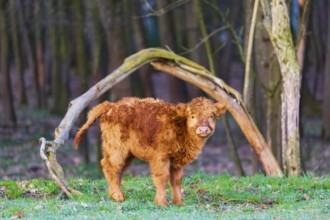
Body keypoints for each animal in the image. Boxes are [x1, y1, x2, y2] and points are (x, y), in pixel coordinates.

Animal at [73, 96, 226, 206]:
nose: (203, 129)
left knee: (118, 171)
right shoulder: (160, 157)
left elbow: (176, 180)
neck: (180, 127)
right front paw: (162, 203)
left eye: (212, 115)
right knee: (109, 166)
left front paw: (179, 202)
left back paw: (116, 194)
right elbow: (162, 177)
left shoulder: (176, 161)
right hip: (117, 148)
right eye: (192, 115)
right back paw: (118, 196)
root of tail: (111, 105)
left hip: (128, 154)